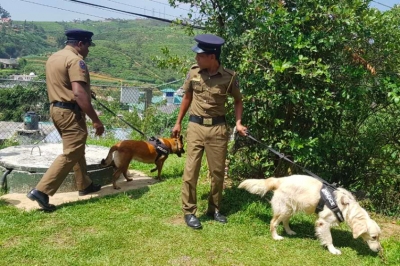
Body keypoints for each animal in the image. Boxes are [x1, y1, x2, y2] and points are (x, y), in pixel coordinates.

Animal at [239, 174, 382, 255]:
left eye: (378, 237)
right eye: (374, 237)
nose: (380, 250)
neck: (346, 207)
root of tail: (280, 180)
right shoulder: (323, 222)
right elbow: (329, 238)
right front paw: (333, 250)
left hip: (290, 208)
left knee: (285, 221)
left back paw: (290, 231)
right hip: (284, 209)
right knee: (273, 223)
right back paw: (276, 237)